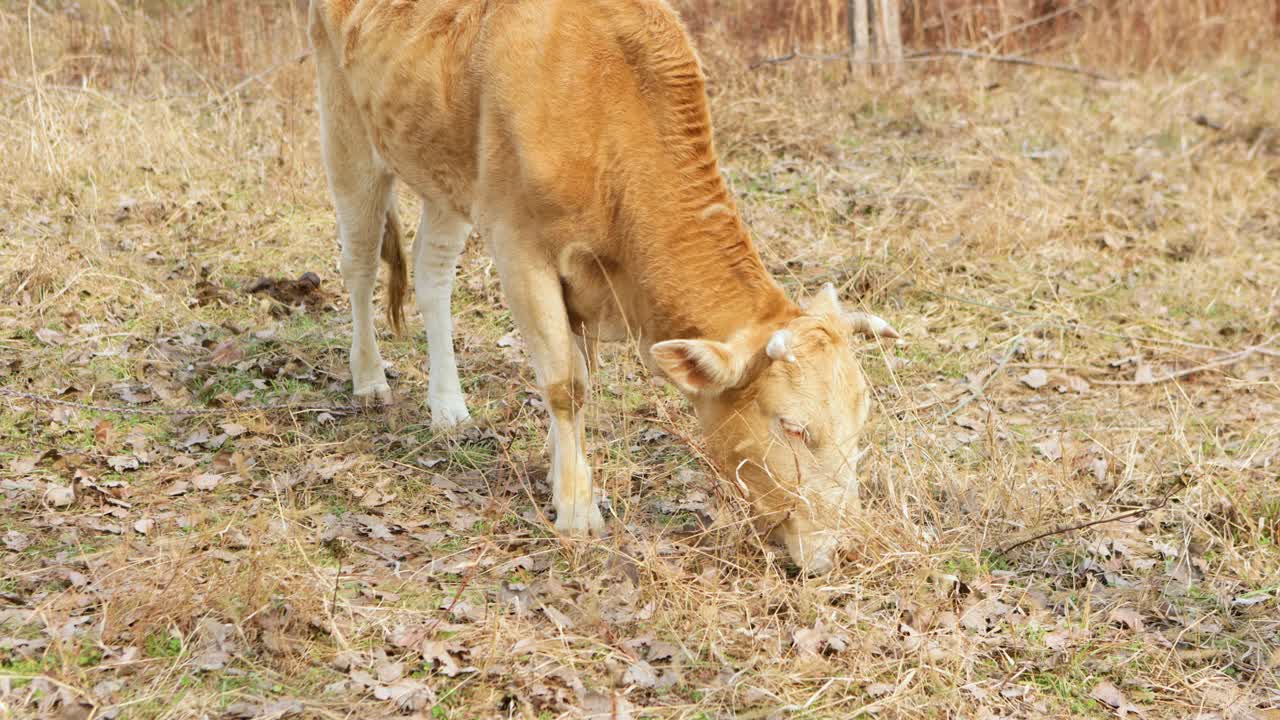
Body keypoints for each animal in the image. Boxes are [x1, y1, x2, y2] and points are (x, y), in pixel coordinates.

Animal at [307, 0, 901, 571]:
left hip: (443, 172)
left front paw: (559, 475)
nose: (843, 548)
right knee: (358, 264)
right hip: (346, 138)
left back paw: (447, 407)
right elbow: (565, 385)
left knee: (432, 274)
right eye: (792, 427)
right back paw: (369, 379)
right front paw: (576, 509)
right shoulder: (519, 248)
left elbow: (578, 371)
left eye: (860, 421)